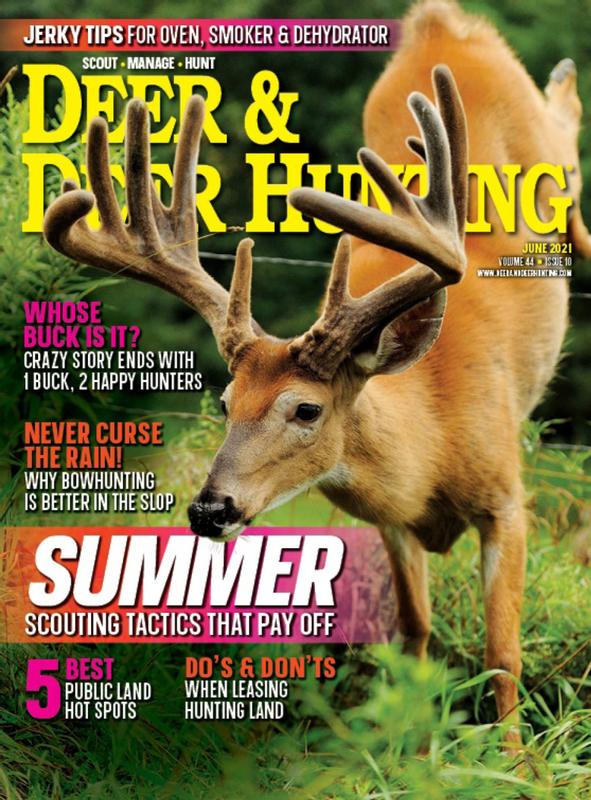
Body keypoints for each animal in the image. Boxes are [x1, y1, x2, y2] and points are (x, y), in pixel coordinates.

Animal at [44, 0, 588, 744]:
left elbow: (502, 654)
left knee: (566, 136)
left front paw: (511, 759)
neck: (432, 433)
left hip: (550, 154)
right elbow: (415, 633)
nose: (210, 509)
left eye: (306, 408)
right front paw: (412, 744)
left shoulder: (506, 497)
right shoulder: (392, 518)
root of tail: (441, 23)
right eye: (225, 401)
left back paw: (564, 79)